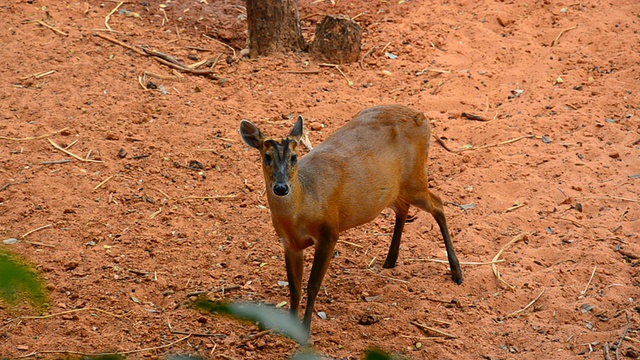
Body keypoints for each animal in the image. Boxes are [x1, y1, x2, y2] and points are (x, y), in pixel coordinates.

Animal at [238, 103, 462, 338]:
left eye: (294, 157)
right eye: (267, 157)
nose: (281, 187)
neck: (303, 204)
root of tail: (422, 117)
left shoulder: (329, 232)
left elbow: (313, 285)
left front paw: (305, 332)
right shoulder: (289, 244)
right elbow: (294, 288)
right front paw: (290, 330)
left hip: (415, 179)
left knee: (438, 204)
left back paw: (456, 273)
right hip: (393, 190)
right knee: (403, 208)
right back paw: (390, 260)